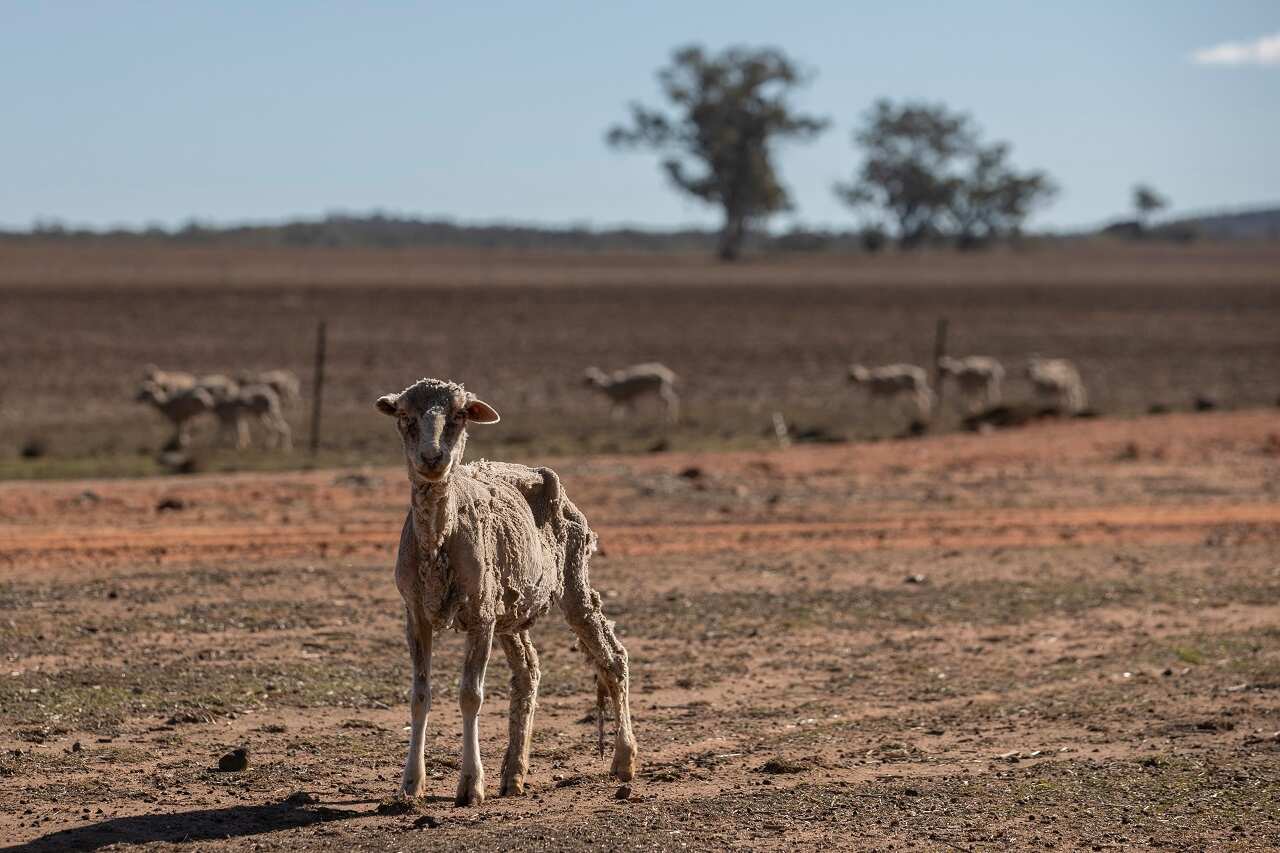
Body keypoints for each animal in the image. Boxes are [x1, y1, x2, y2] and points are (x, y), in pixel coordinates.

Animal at [376, 378, 636, 806]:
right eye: (404, 416)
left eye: (459, 415)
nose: (432, 457)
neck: (438, 543)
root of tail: (536, 471)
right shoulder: (416, 614)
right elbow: (419, 696)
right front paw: (411, 784)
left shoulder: (481, 613)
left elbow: (470, 695)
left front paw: (470, 784)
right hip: (512, 609)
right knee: (528, 672)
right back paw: (514, 773)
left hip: (572, 582)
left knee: (612, 658)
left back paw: (625, 759)